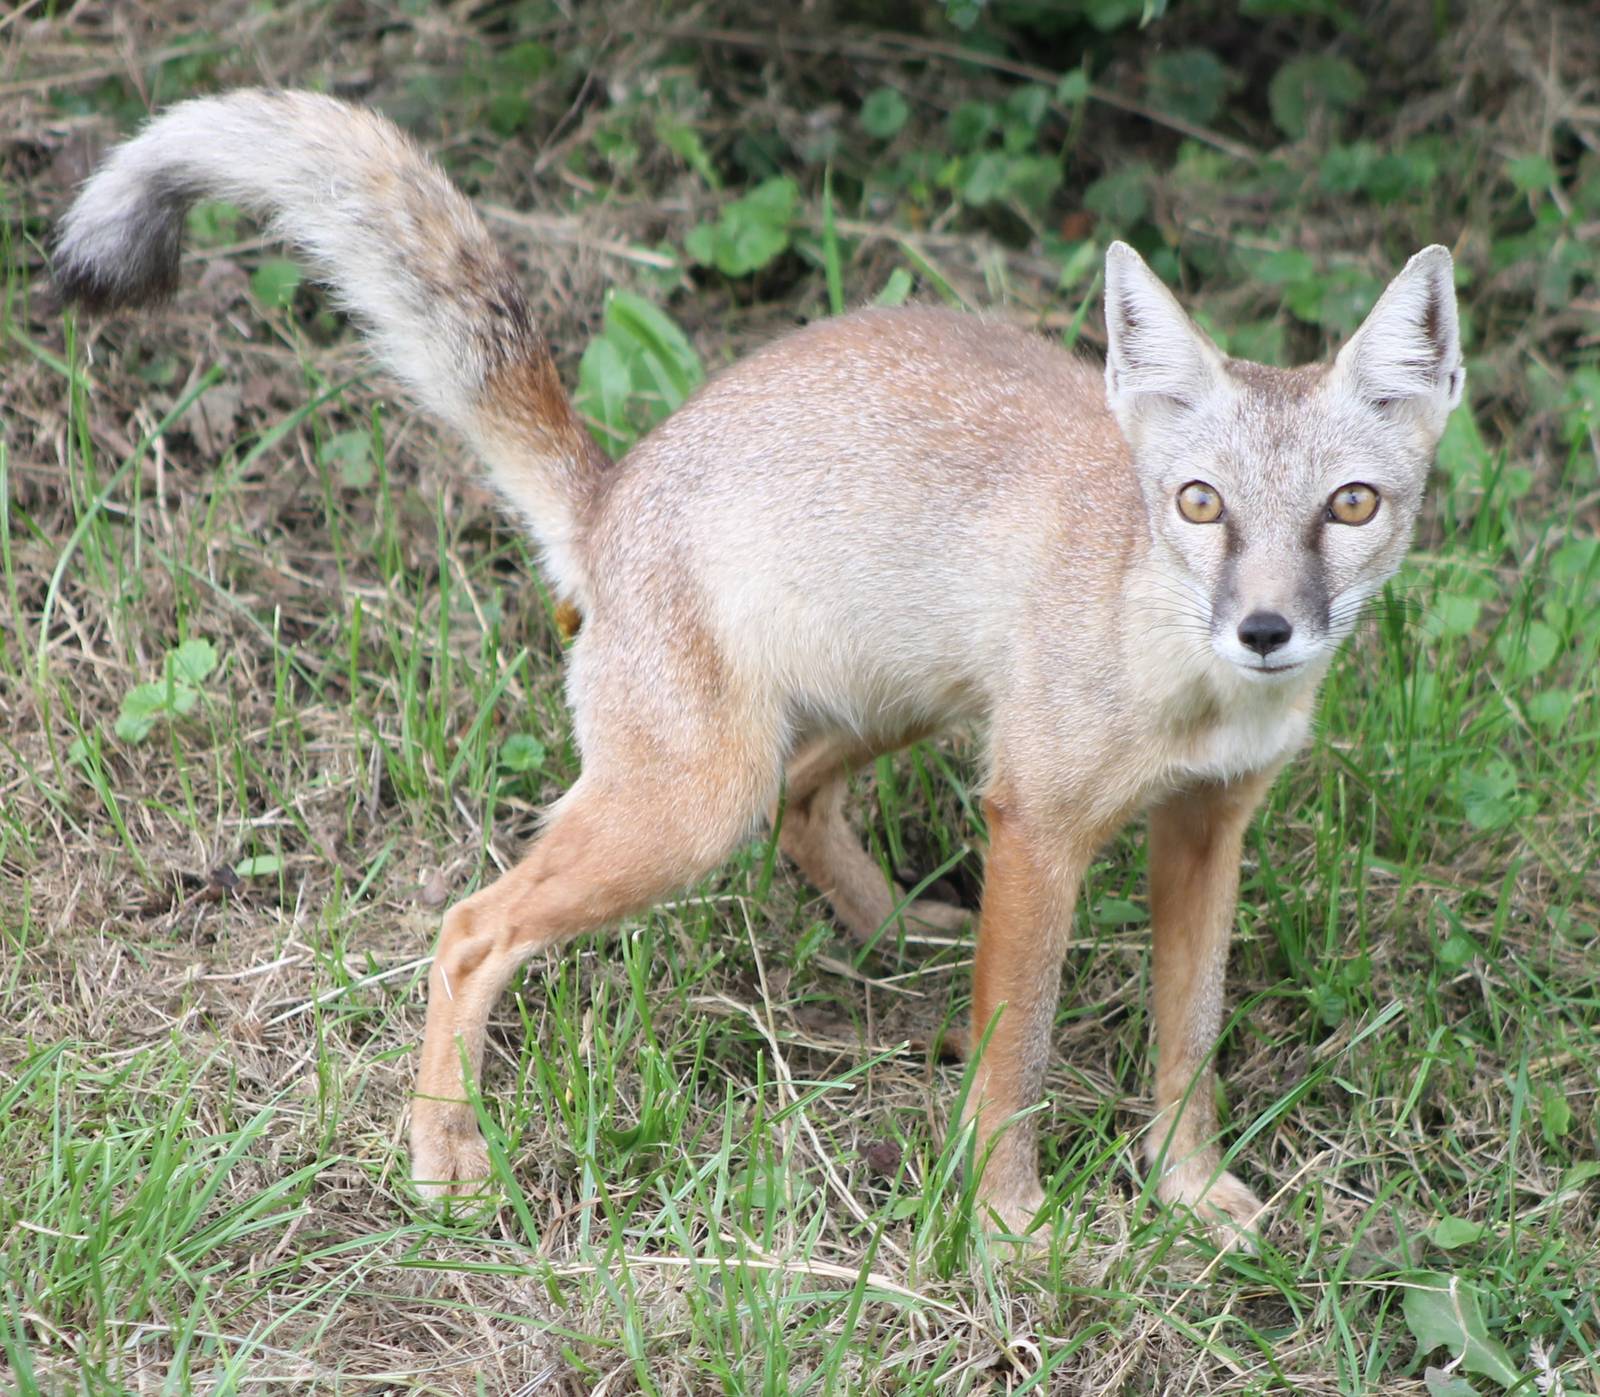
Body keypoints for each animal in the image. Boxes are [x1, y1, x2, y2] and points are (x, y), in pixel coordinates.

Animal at [52, 89, 1463, 1243]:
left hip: (894, 713)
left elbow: (1190, 1040)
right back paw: (446, 1147)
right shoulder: (1039, 824)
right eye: (1197, 505)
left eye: (1348, 506)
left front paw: (1186, 1189)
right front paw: (1010, 1231)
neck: (1186, 690)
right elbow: (1015, 1061)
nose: (1266, 630)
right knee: (467, 928)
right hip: (691, 807)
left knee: (804, 797)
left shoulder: (1206, 826)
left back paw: (898, 933)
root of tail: (613, 490)